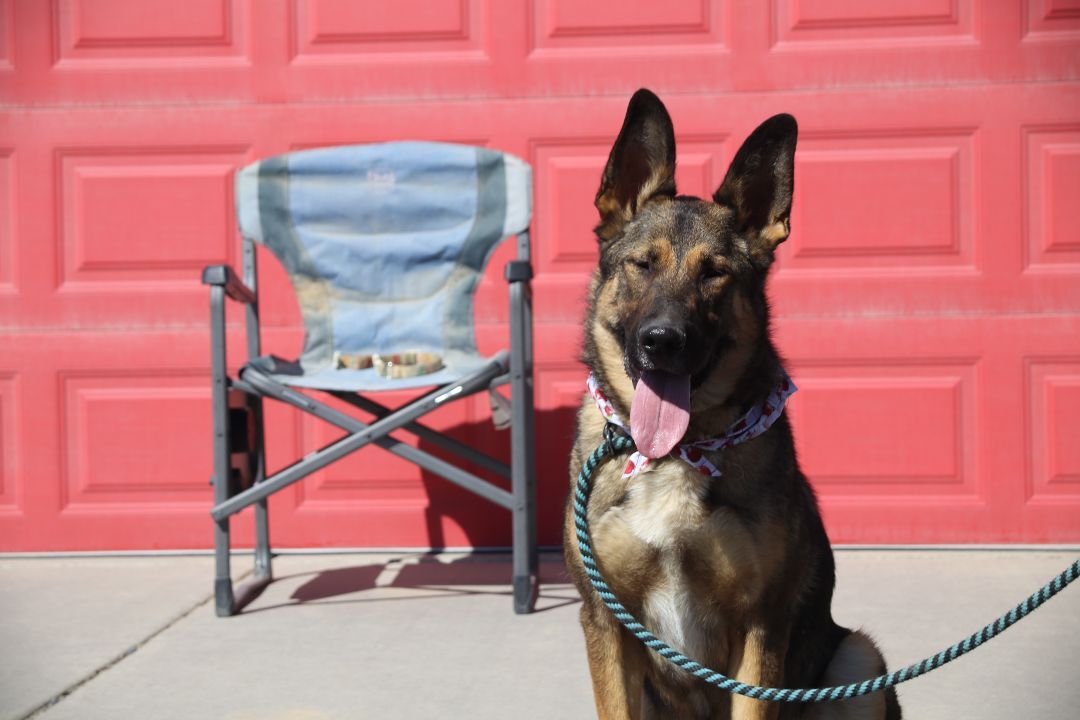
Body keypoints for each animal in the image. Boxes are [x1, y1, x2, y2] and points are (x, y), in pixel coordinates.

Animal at [561, 91, 898, 720]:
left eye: (714, 273)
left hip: (859, 661)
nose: (663, 340)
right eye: (642, 264)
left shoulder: (761, 629)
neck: (678, 451)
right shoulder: (606, 622)